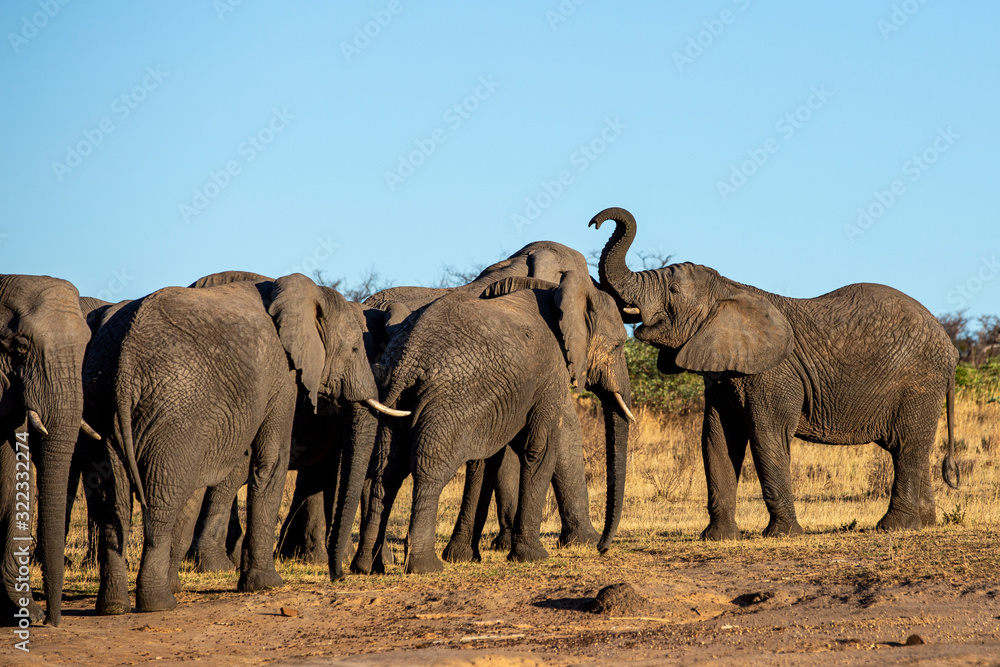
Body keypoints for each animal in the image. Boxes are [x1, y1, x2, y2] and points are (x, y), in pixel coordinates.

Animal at [588, 206, 956, 540]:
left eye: (673, 293)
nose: (595, 222)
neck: (729, 289)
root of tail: (950, 348)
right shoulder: (723, 373)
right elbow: (717, 438)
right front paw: (718, 538)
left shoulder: (773, 373)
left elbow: (768, 437)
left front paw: (782, 535)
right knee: (910, 448)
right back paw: (925, 523)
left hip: (921, 381)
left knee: (907, 446)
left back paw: (893, 527)